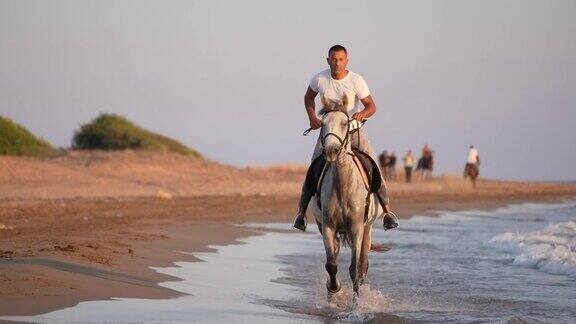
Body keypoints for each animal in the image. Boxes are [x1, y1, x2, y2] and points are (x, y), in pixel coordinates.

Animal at [306, 97, 382, 302]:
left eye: (345, 123)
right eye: (322, 124)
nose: (331, 150)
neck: (343, 185)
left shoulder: (356, 228)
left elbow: (355, 269)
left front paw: (356, 304)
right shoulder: (328, 227)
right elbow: (331, 265)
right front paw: (333, 288)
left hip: (367, 229)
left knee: (363, 265)